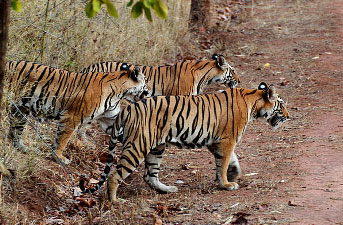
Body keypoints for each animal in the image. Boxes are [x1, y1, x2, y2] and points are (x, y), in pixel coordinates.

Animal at [5, 60, 148, 164]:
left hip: (20, 111)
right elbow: (62, 139)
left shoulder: (110, 119)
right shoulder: (72, 116)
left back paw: (25, 148)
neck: (120, 93)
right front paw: (60, 157)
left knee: (15, 133)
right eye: (145, 82)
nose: (148, 92)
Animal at [80, 81, 290, 202]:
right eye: (281, 104)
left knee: (149, 175)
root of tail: (128, 109)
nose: (289, 116)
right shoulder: (227, 140)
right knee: (115, 175)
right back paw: (115, 201)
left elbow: (230, 160)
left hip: (156, 147)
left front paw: (233, 174)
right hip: (137, 147)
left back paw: (167, 189)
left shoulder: (216, 142)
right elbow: (223, 163)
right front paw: (226, 184)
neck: (254, 103)